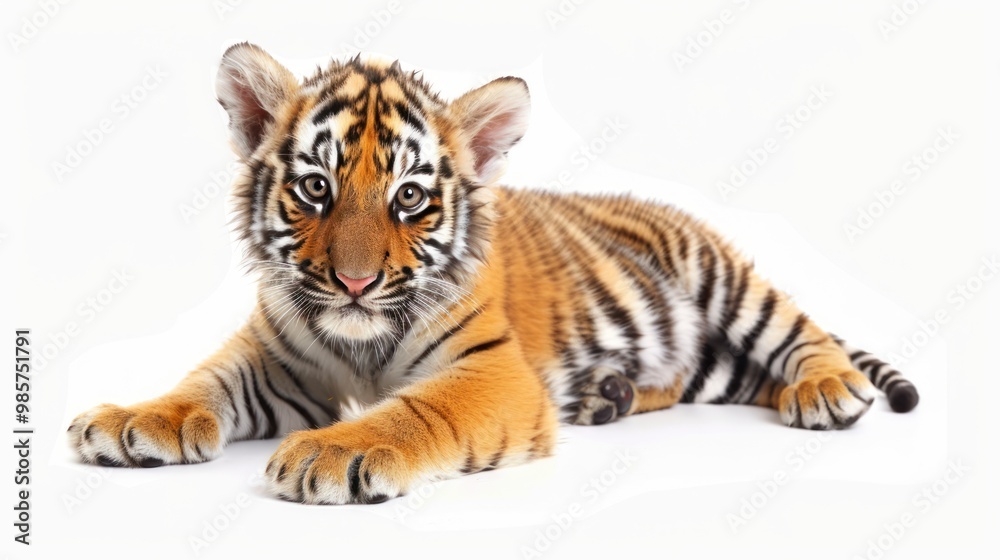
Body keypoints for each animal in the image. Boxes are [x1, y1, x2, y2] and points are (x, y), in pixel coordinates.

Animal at [68, 43, 919, 505]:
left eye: (410, 198)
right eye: (316, 188)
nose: (353, 284)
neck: (361, 338)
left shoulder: (491, 371)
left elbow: (416, 410)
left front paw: (330, 452)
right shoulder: (274, 360)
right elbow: (201, 384)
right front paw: (132, 421)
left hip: (724, 278)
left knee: (803, 337)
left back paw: (826, 390)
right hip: (705, 357)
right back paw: (611, 395)